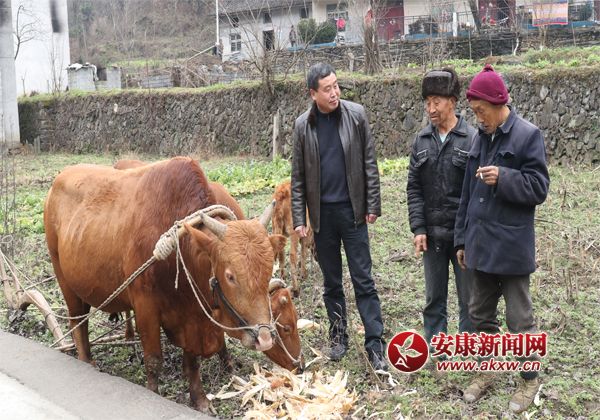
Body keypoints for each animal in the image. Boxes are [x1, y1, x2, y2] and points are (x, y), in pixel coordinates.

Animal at [44, 157, 288, 412]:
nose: (264, 338)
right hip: (65, 280)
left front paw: (200, 399)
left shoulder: (193, 316)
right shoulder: (145, 309)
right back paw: (85, 360)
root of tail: (58, 181)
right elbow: (154, 361)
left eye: (268, 270)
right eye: (230, 276)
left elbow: (191, 362)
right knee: (77, 323)